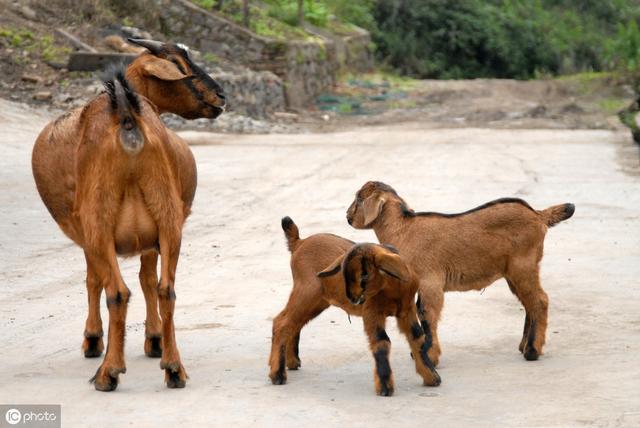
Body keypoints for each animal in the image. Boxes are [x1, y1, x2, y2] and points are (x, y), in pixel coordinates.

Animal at [31, 40, 228, 392]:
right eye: (180, 65)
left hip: (98, 221)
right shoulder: (152, 237)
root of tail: (126, 116)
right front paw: (155, 338)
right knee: (166, 289)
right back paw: (174, 368)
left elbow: (93, 279)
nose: (221, 96)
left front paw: (93, 339)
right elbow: (147, 278)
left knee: (117, 292)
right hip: (168, 218)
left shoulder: (88, 233)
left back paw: (108, 371)